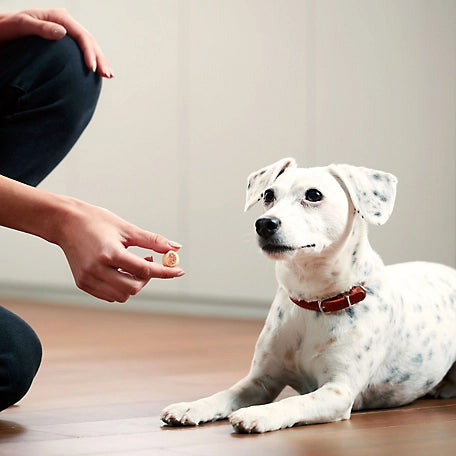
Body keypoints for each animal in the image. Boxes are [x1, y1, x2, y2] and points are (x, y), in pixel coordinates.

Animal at [161, 159, 456, 432]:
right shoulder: (260, 381)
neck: (313, 302)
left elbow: (294, 402)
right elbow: (224, 394)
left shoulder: (338, 390)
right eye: (268, 195)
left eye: (314, 195)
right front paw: (190, 406)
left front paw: (258, 413)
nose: (264, 223)